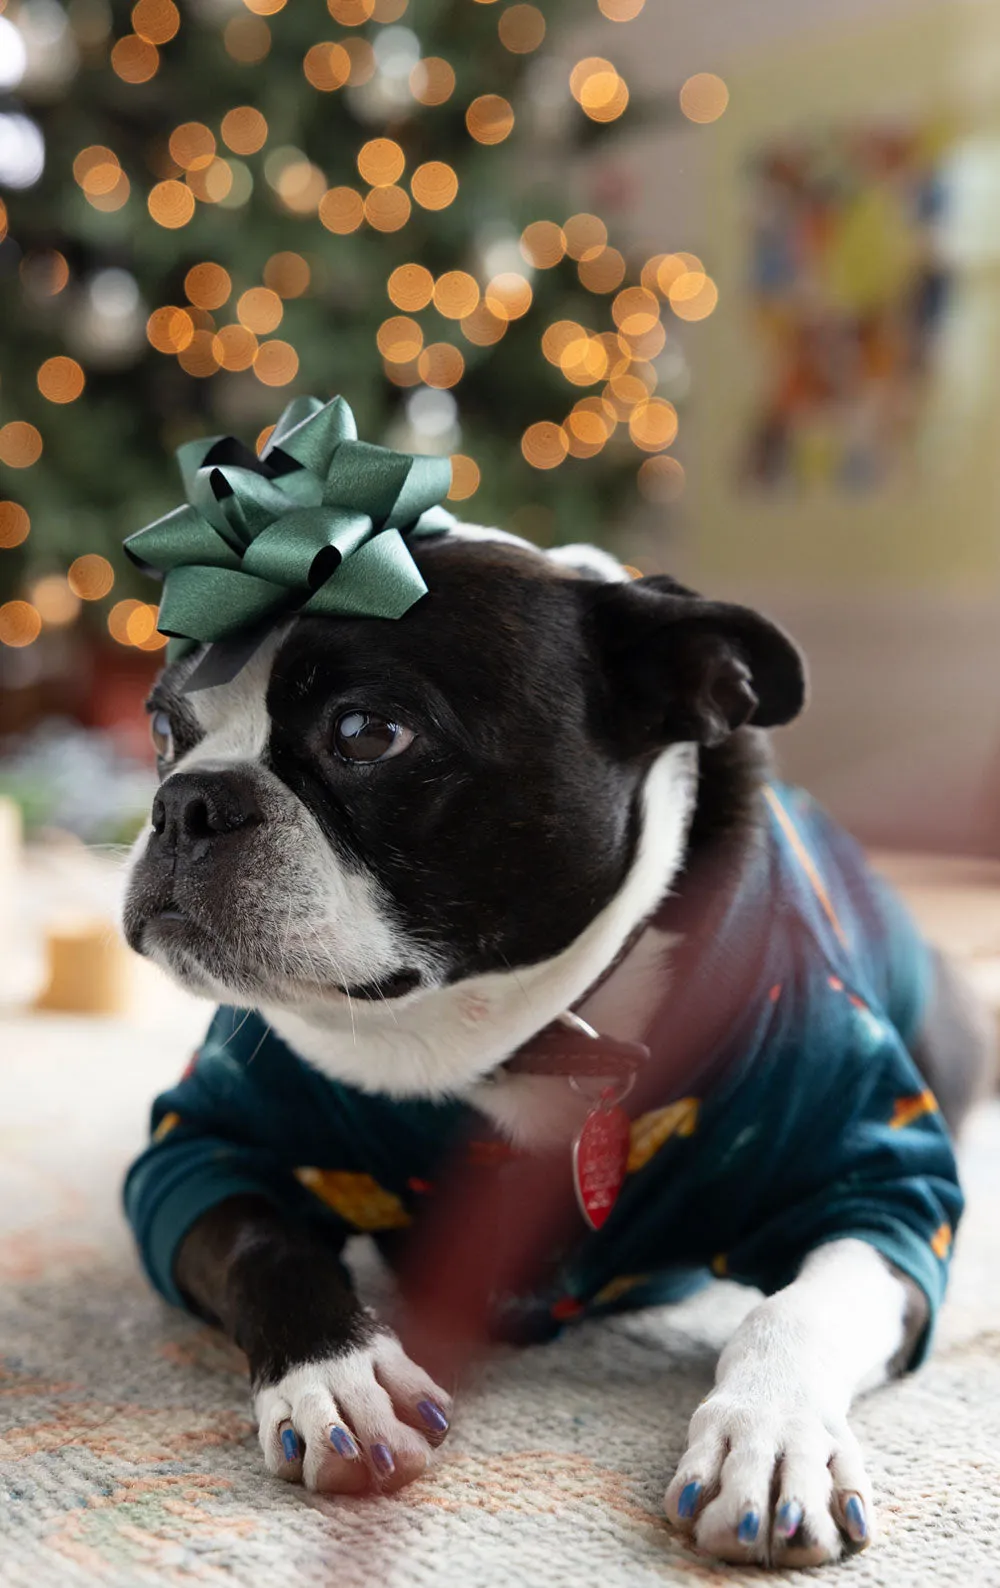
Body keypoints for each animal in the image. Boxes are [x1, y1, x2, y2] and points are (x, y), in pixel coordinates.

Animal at [121, 527, 990, 1568]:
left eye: (368, 732)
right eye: (164, 730)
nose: (186, 801)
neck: (524, 1038)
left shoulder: (885, 1196)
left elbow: (797, 1309)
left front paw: (770, 1440)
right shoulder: (198, 1156)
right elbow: (269, 1246)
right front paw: (339, 1377)